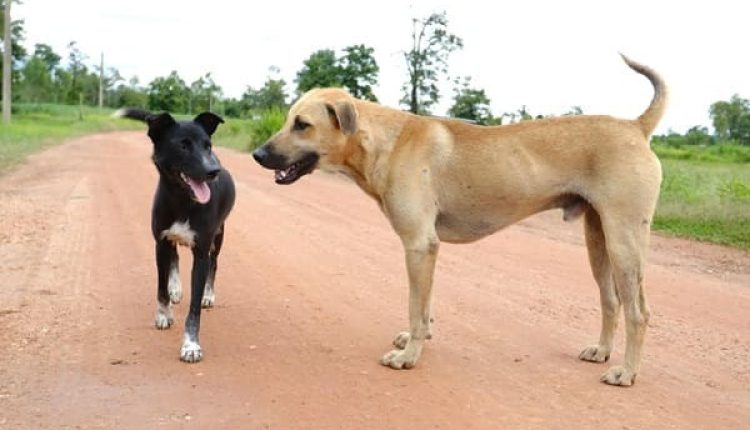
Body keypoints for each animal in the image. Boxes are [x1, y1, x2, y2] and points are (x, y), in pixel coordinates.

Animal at [118, 109, 236, 363]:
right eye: (183, 145)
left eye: (207, 145)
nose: (213, 171)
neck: (182, 201)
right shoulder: (160, 243)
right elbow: (161, 287)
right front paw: (164, 314)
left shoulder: (201, 253)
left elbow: (194, 308)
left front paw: (191, 345)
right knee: (175, 257)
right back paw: (176, 288)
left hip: (218, 236)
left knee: (215, 264)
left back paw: (208, 295)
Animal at [251, 54, 666, 386]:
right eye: (288, 120)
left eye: (302, 124)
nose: (257, 154)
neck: (386, 141)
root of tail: (635, 126)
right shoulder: (427, 248)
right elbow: (425, 305)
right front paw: (417, 340)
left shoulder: (419, 244)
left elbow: (416, 307)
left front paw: (408, 356)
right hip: (599, 240)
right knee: (611, 301)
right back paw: (601, 351)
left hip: (624, 242)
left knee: (639, 312)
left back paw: (626, 372)